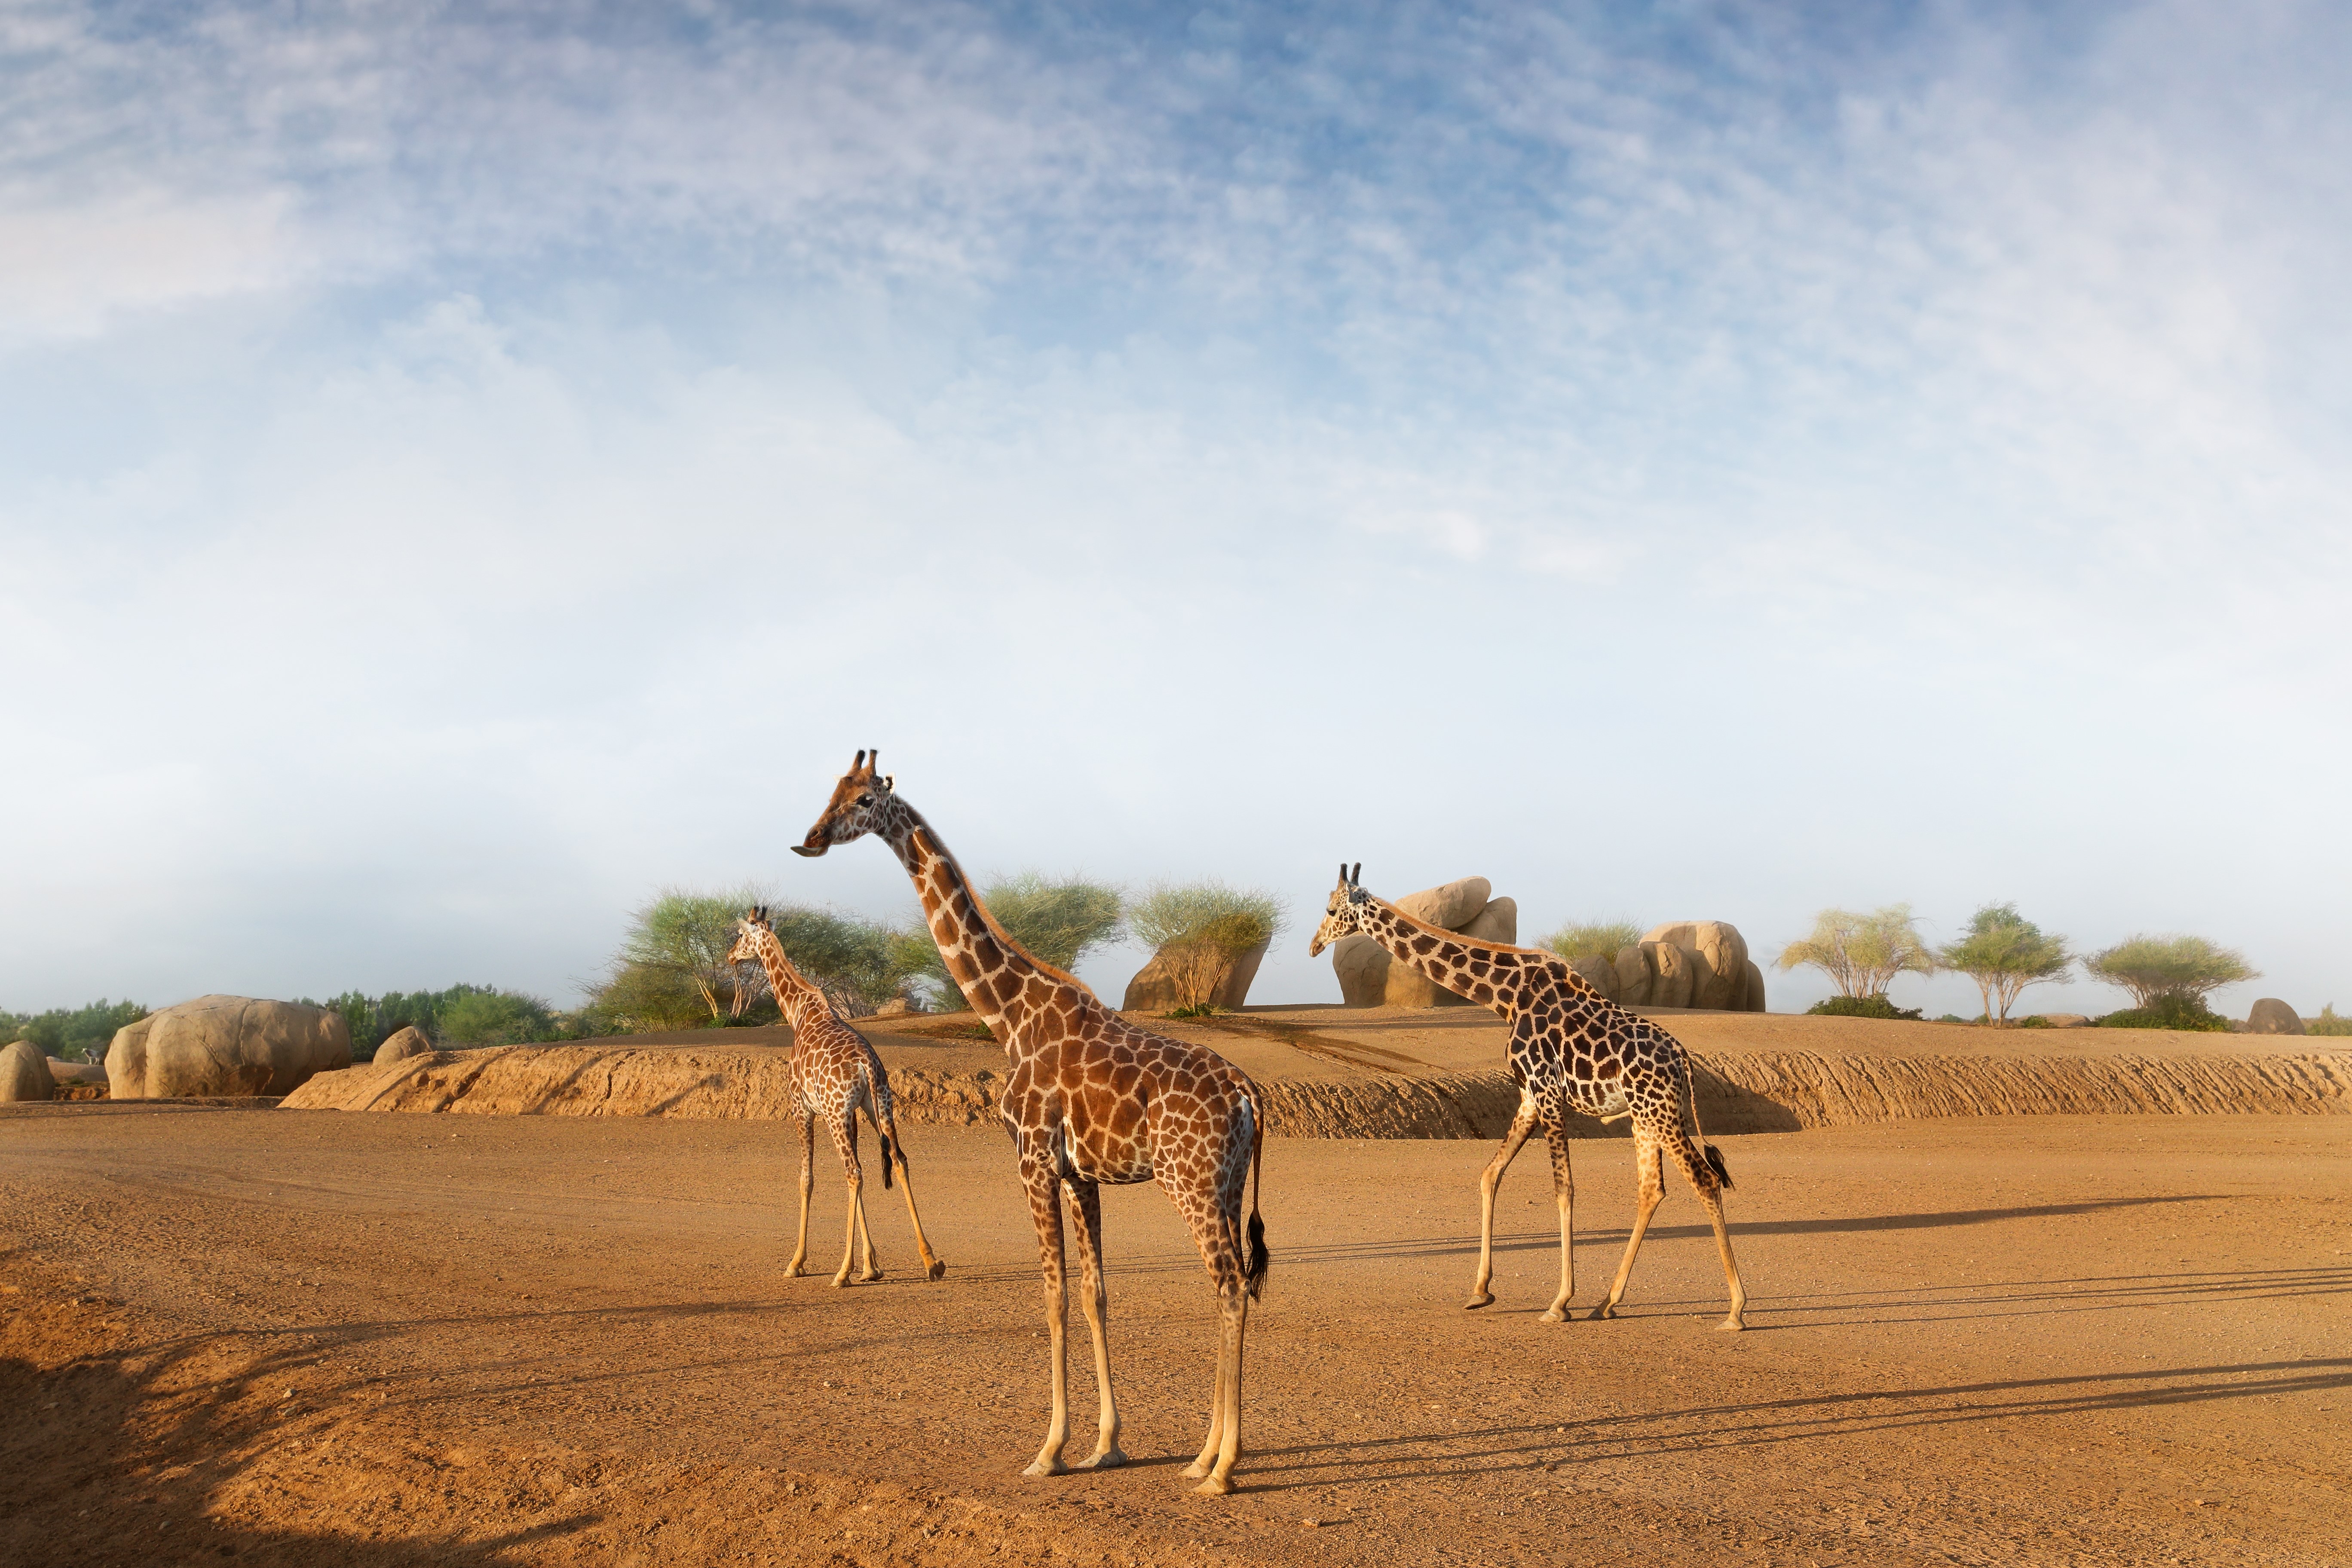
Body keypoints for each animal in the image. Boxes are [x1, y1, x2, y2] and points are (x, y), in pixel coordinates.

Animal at [725, 906, 946, 1287]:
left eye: (741, 936)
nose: (730, 956)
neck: (798, 1013)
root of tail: (866, 1065)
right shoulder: (853, 1111)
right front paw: (872, 1266)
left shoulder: (803, 1108)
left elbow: (807, 1179)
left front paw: (797, 1262)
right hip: (880, 1106)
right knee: (898, 1160)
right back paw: (931, 1261)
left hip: (835, 1113)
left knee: (853, 1172)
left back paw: (842, 1272)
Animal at [793, 750, 1270, 1495]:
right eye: (832, 790)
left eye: (865, 799)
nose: (810, 838)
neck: (1008, 1017)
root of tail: (1248, 1094)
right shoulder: (1080, 1176)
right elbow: (1094, 1293)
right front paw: (1106, 1444)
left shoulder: (1032, 1161)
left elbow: (1052, 1297)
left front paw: (1049, 1450)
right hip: (1223, 1185)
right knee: (1234, 1283)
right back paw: (1202, 1455)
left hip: (1188, 1183)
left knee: (1228, 1285)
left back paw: (1222, 1468)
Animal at [1309, 864, 1746, 1331]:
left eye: (1331, 910)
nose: (1315, 945)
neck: (1504, 996)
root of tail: (1682, 1059)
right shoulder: (1529, 1095)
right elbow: (1490, 1174)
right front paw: (1481, 1290)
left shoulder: (1546, 1088)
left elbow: (1564, 1188)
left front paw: (1560, 1301)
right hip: (1646, 1114)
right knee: (1651, 1190)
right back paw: (1608, 1302)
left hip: (1657, 1110)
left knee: (1703, 1179)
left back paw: (1736, 1310)